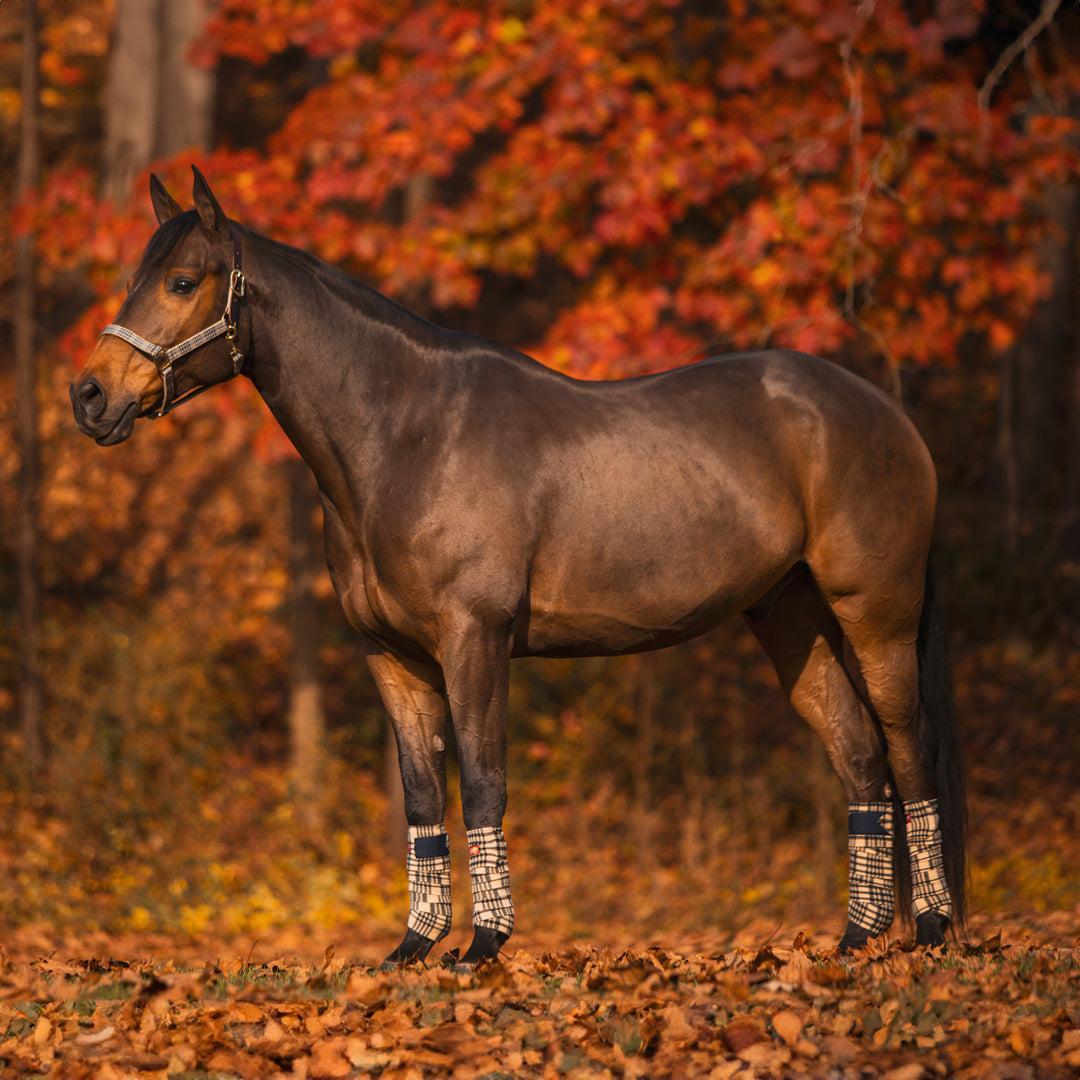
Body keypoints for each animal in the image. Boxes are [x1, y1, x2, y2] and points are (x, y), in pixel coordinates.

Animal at [69, 170, 963, 972]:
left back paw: (931, 932)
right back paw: (856, 940)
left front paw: (484, 947)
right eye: (135, 280)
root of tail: (886, 411)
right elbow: (423, 793)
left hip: (874, 616)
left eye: (183, 281)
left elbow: (481, 780)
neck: (406, 434)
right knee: (860, 757)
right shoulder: (391, 656)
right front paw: (414, 947)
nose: (90, 396)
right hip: (791, 620)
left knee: (908, 747)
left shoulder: (476, 639)